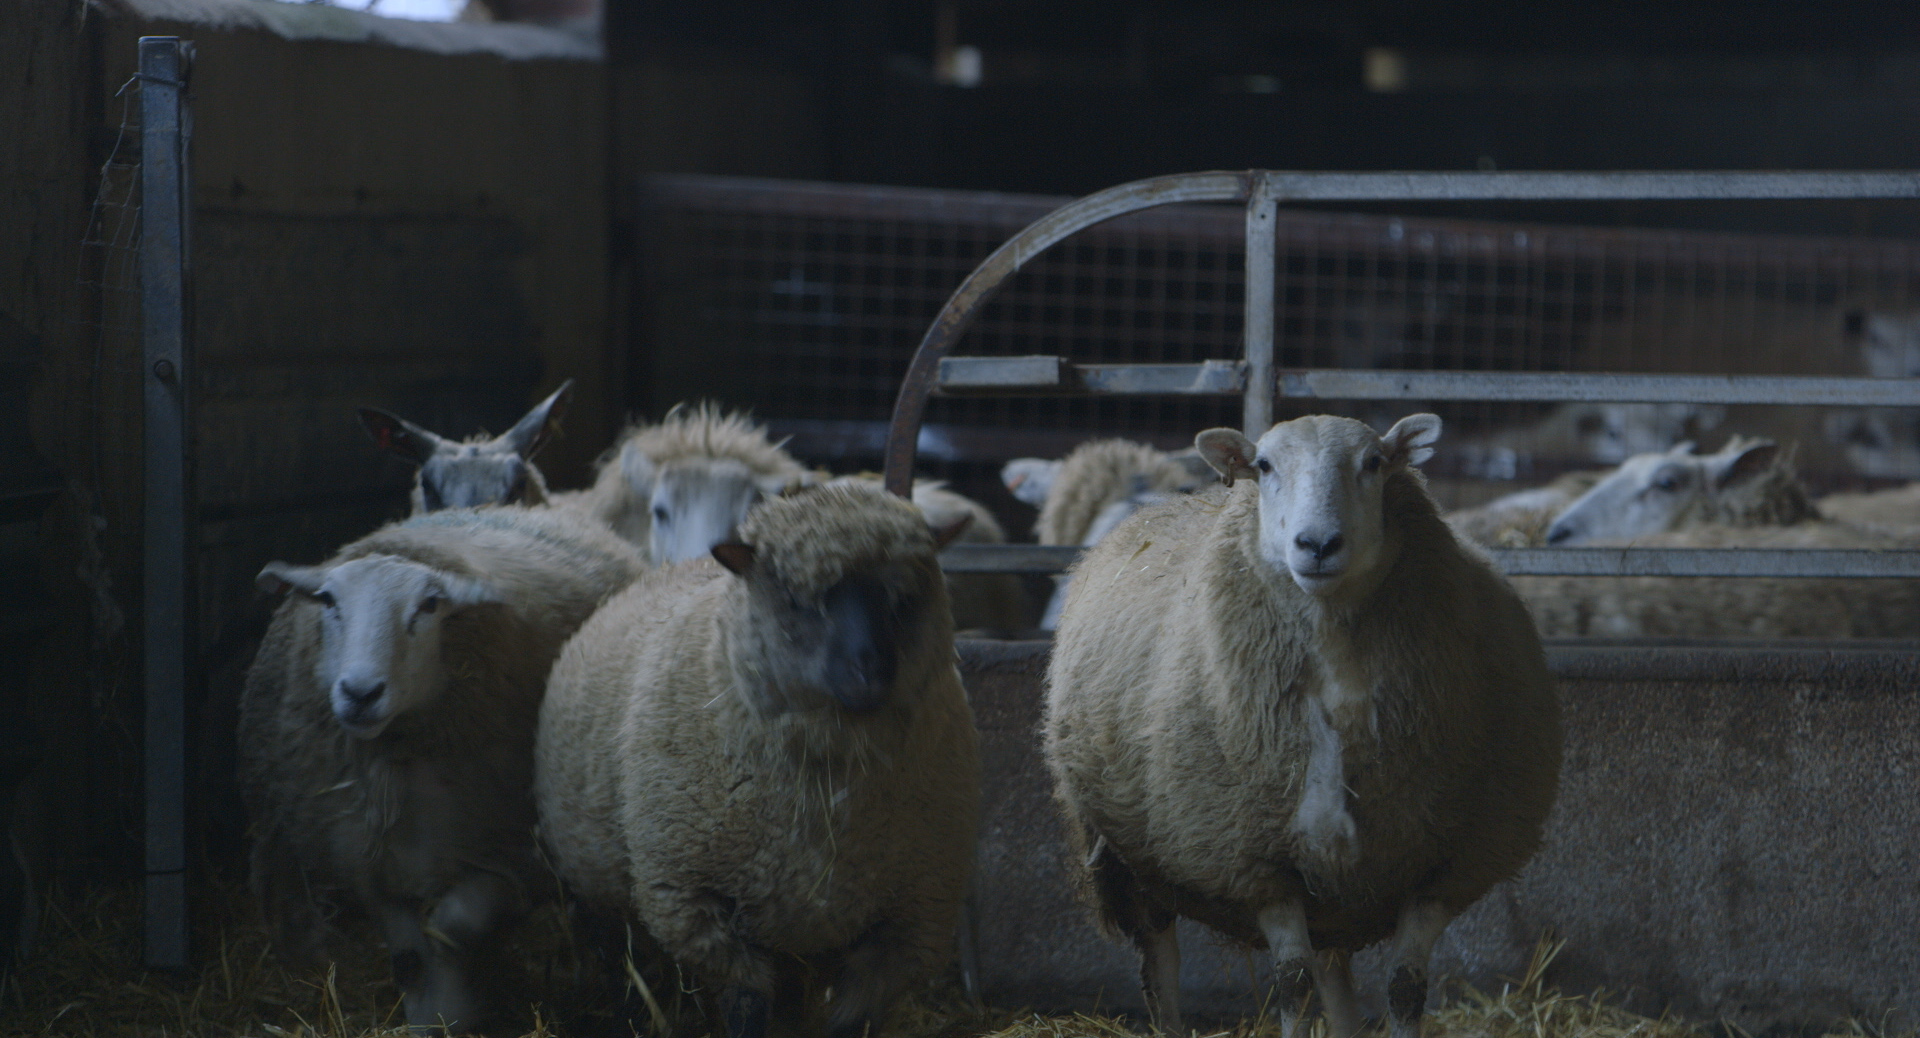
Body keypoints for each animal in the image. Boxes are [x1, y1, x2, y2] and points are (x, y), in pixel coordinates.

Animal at [239, 505, 645, 1032]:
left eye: (430, 605)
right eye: (328, 600)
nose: (360, 693)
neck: (400, 756)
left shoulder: (518, 855)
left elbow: (456, 923)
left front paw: (457, 1002)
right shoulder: (373, 866)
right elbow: (409, 957)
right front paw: (433, 1017)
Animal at [534, 483, 980, 1038]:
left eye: (905, 596)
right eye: (794, 598)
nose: (870, 672)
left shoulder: (911, 920)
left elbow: (852, 1019)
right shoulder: (693, 903)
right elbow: (746, 1005)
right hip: (597, 890)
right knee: (621, 957)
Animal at [1044, 413, 1561, 1038]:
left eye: (1374, 462)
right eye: (1264, 465)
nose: (1317, 545)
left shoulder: (1445, 865)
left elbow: (1405, 988)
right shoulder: (1257, 864)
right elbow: (1293, 985)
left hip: (1337, 893)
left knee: (1336, 977)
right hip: (1131, 858)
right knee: (1160, 964)